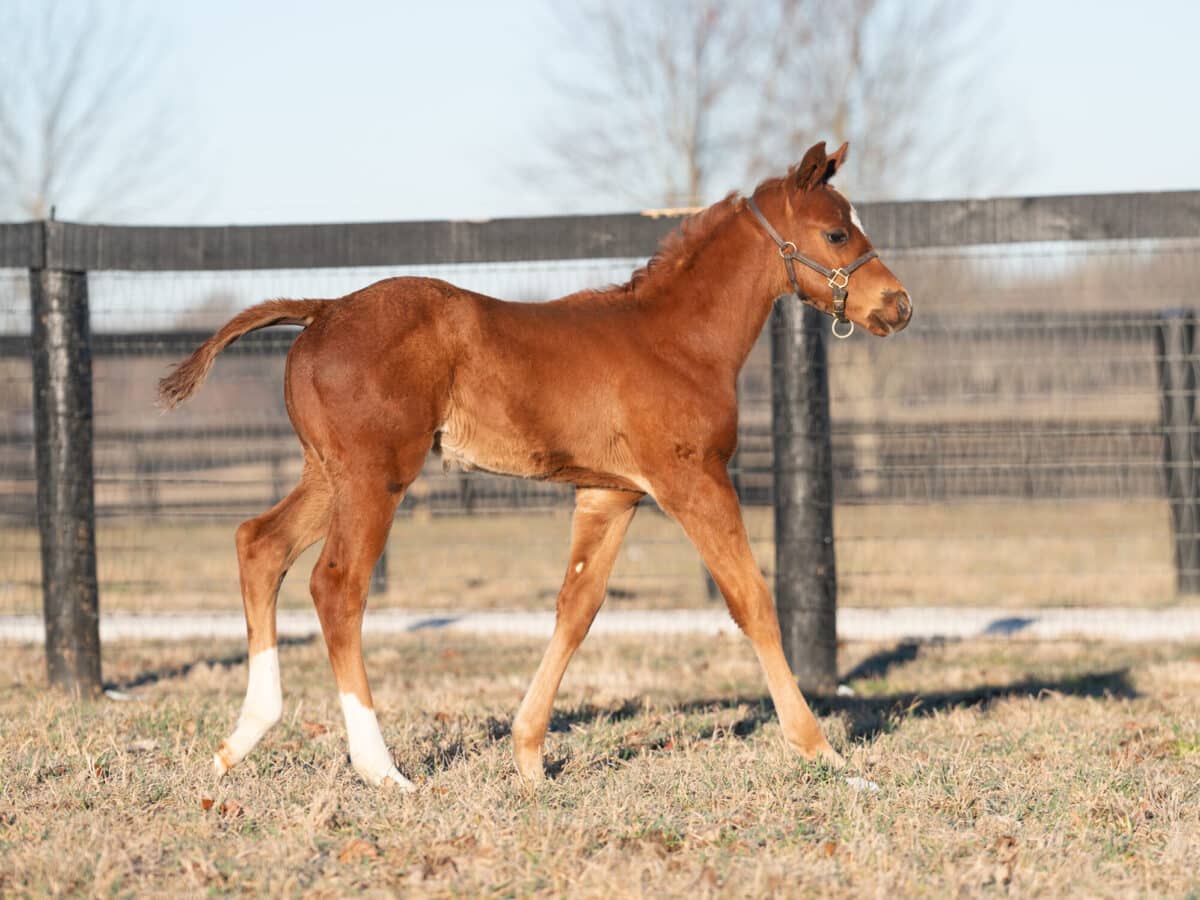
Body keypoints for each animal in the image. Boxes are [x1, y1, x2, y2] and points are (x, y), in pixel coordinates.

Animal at [159, 141, 907, 787]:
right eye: (836, 234)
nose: (897, 305)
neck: (675, 341)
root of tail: (322, 310)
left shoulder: (611, 494)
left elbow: (577, 608)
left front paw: (527, 755)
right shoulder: (691, 479)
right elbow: (751, 598)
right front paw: (821, 751)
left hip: (328, 472)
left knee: (260, 545)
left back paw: (241, 741)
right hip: (375, 476)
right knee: (336, 586)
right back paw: (380, 768)